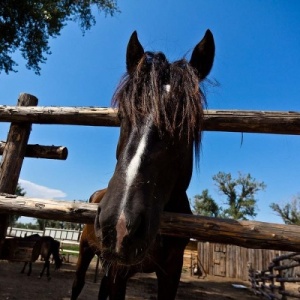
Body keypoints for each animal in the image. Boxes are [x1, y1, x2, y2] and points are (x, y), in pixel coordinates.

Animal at [71, 28, 214, 300]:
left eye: (187, 124)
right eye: (122, 116)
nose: (118, 226)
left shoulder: (172, 271)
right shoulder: (118, 272)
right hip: (85, 250)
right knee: (78, 284)